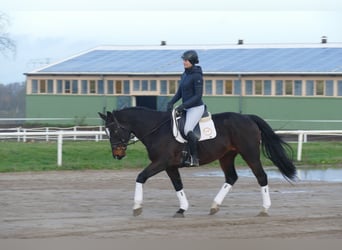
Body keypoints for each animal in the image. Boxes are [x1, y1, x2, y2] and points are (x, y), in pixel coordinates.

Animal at [97, 106, 296, 218]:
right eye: (106, 131)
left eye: (115, 130)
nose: (117, 154)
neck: (157, 130)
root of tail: (248, 117)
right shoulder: (169, 166)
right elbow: (178, 185)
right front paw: (182, 209)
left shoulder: (161, 162)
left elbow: (140, 177)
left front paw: (137, 208)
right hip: (226, 156)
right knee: (231, 177)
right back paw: (214, 206)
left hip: (250, 153)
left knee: (261, 177)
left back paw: (264, 209)